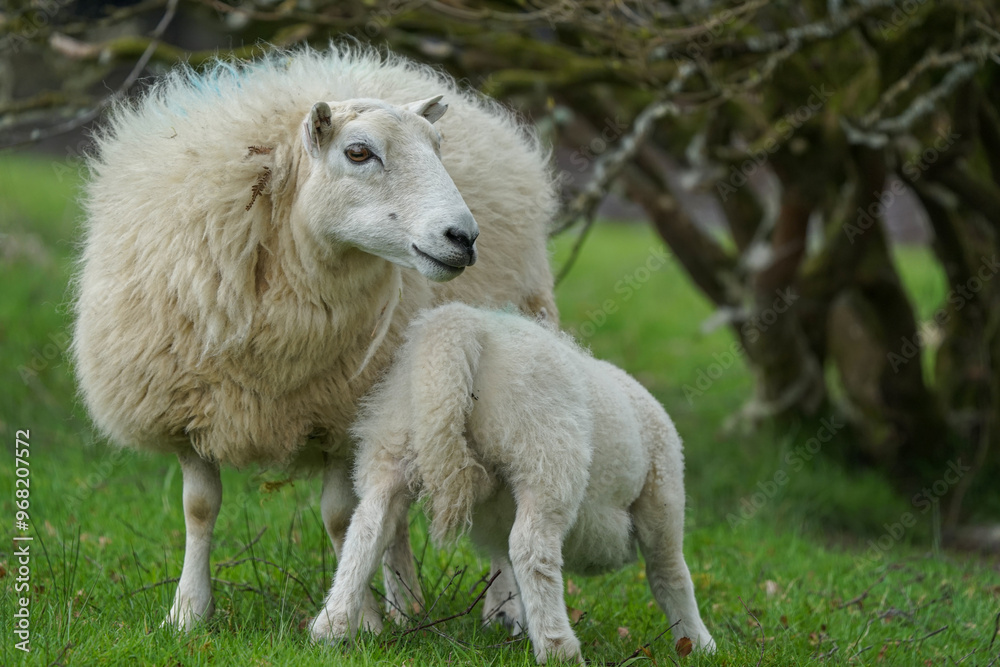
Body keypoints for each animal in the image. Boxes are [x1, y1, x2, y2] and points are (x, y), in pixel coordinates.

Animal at [72, 46, 557, 635]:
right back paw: (408, 606)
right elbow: (199, 508)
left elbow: (340, 516)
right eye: (358, 152)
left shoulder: (342, 415)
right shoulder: (186, 408)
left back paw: (501, 610)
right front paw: (188, 612)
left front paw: (361, 620)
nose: (463, 237)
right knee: (394, 509)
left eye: (438, 148)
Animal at [313, 303, 716, 663]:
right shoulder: (661, 492)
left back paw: (333, 627)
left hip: (393, 443)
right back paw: (559, 649)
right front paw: (698, 644)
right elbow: (671, 575)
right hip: (546, 453)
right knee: (532, 548)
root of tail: (466, 329)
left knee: (367, 527)